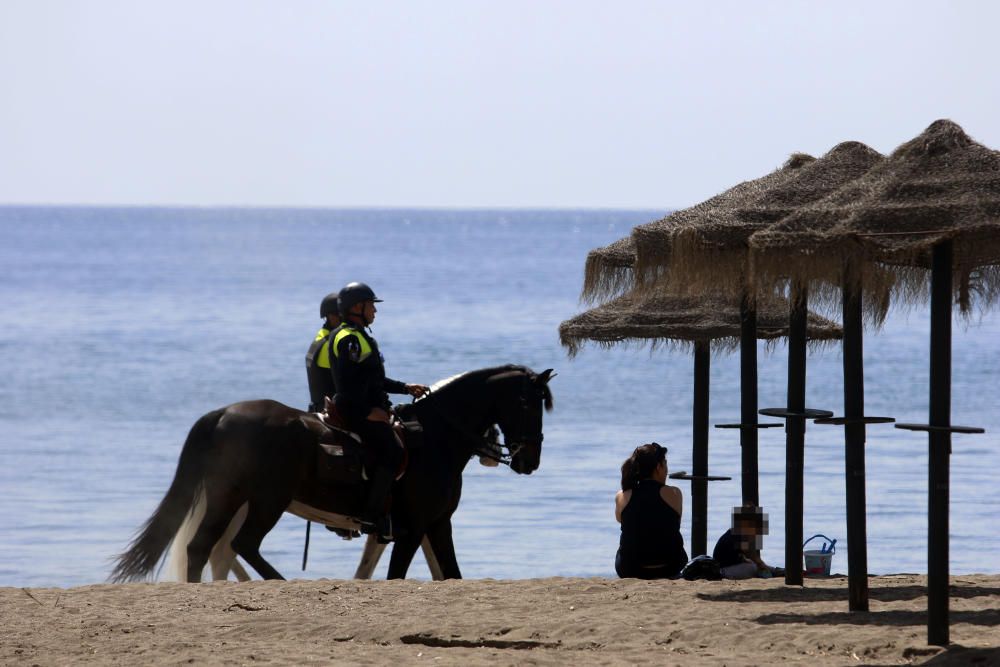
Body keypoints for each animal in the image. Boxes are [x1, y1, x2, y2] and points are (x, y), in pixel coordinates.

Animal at [113, 368, 560, 580]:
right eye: (530, 403)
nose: (529, 460)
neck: (434, 437)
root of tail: (222, 413)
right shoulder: (413, 528)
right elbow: (396, 575)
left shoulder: (436, 525)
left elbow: (449, 574)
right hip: (267, 501)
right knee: (241, 546)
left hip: (229, 497)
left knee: (201, 548)